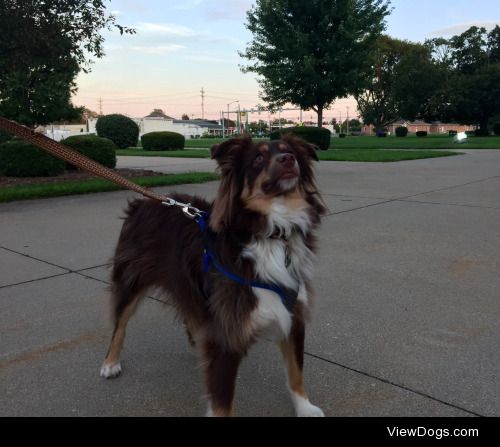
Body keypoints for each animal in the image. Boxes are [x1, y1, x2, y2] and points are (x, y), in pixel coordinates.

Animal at [102, 133, 328, 416]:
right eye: (258, 158)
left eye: (291, 152)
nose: (288, 160)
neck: (271, 233)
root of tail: (143, 202)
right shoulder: (226, 333)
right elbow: (222, 403)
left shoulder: (293, 313)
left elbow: (296, 371)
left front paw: (305, 408)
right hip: (131, 279)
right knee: (119, 323)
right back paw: (110, 362)